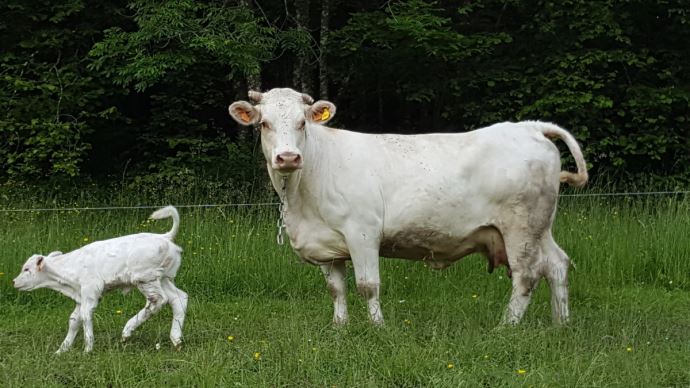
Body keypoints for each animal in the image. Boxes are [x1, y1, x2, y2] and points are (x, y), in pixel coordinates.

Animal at [13, 208, 185, 354]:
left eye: (27, 269)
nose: (14, 282)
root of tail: (164, 237)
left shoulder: (90, 292)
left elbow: (85, 316)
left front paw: (87, 349)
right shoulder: (80, 295)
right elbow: (74, 320)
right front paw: (61, 350)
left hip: (145, 278)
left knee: (158, 300)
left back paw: (127, 331)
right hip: (163, 278)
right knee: (178, 298)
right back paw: (176, 340)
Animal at [228, 88, 584, 324]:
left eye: (303, 123)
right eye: (264, 124)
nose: (288, 157)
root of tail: (529, 127)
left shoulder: (362, 232)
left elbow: (368, 286)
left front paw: (378, 328)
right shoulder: (326, 245)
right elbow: (336, 289)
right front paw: (339, 328)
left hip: (520, 229)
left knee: (526, 276)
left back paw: (506, 327)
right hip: (540, 228)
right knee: (557, 264)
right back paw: (561, 324)